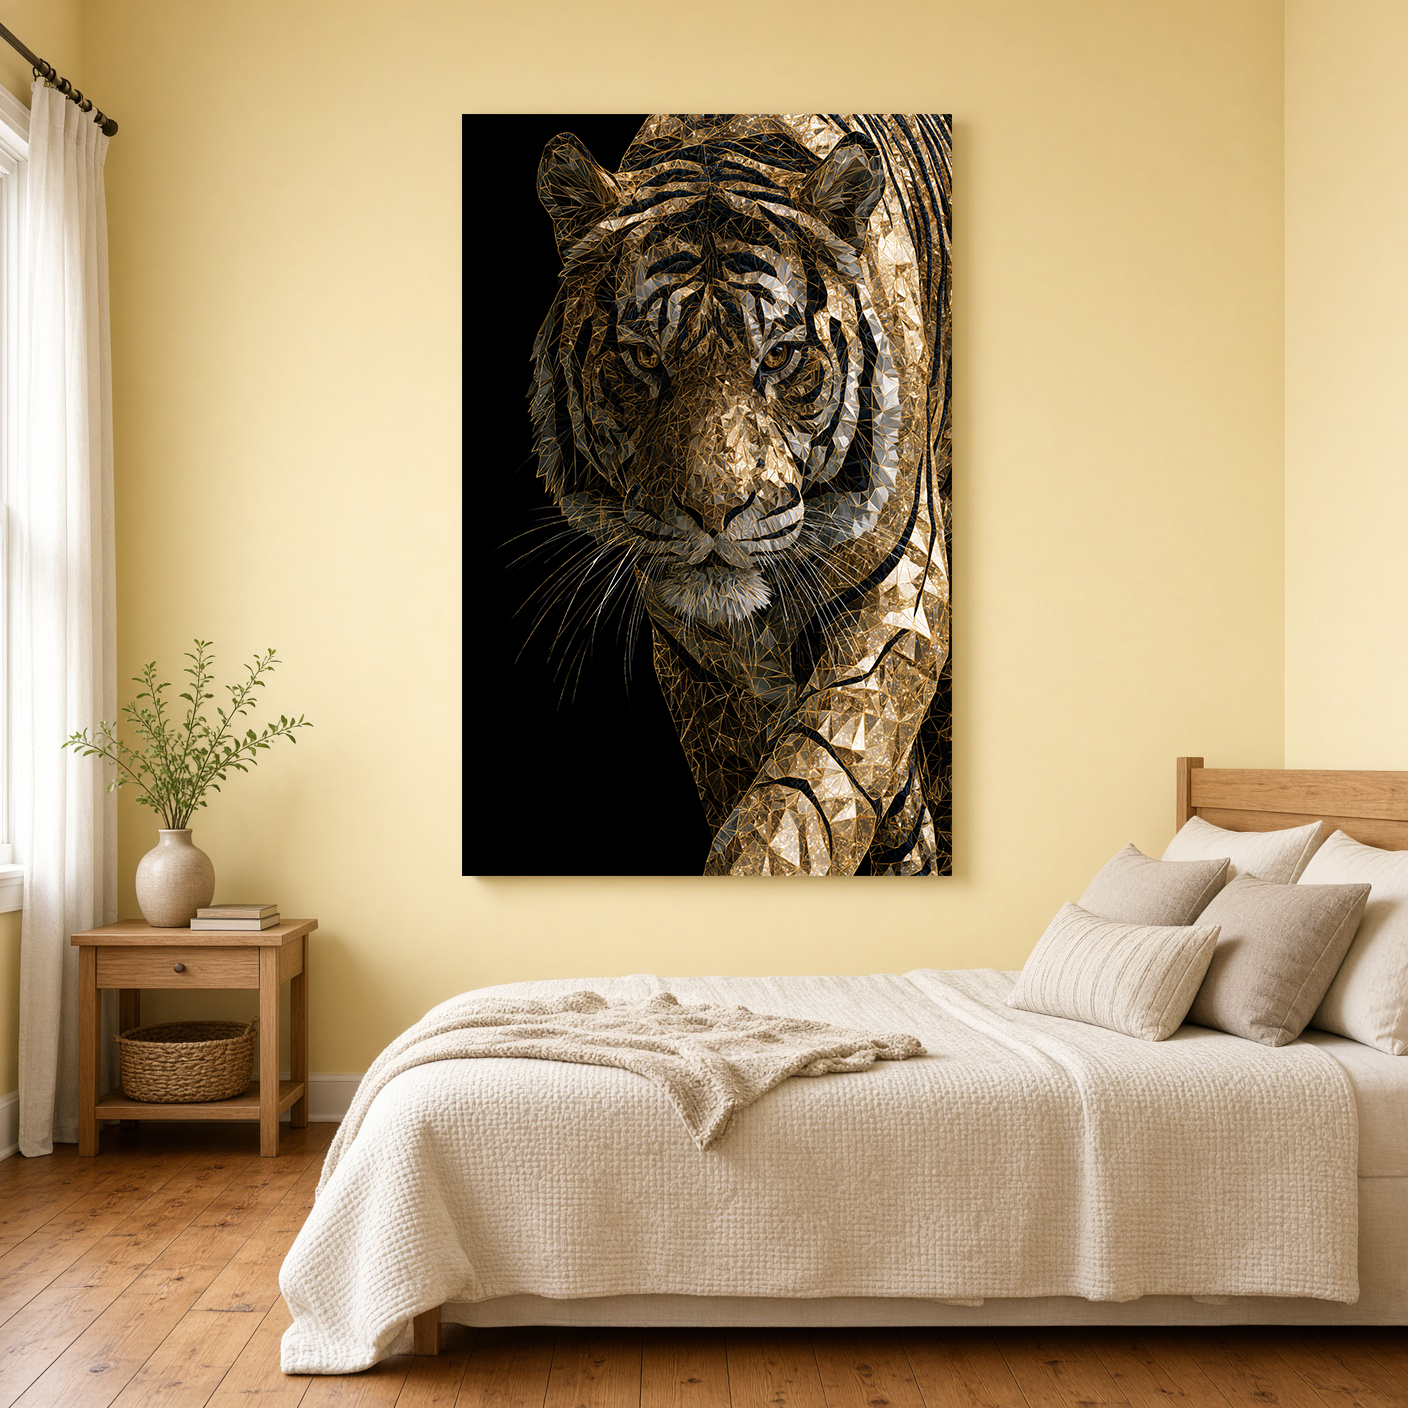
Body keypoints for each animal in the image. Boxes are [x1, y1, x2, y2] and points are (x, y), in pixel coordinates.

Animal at [530, 114, 951, 876]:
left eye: (779, 356)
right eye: (644, 356)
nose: (713, 511)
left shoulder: (903, 593)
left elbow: (814, 780)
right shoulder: (695, 657)